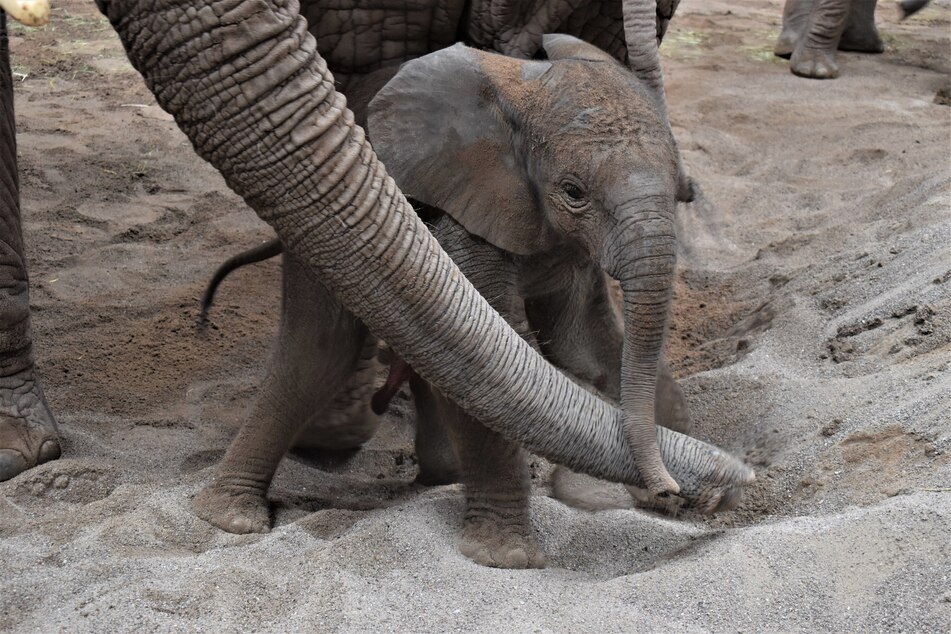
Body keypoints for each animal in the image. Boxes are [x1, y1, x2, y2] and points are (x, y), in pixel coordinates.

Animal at [199, 34, 752, 568]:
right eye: (573, 192)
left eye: (682, 190)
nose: (674, 490)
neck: (526, 92)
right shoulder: (466, 209)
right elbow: (495, 354)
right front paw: (506, 557)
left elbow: (584, 348)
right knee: (320, 351)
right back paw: (232, 519)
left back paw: (440, 476)